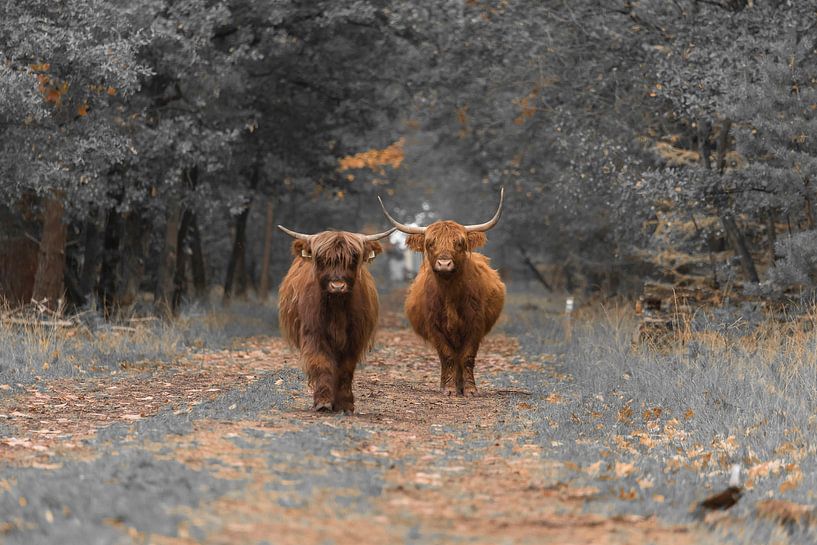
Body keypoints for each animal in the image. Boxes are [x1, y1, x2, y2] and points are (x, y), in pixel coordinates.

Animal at [276, 225, 394, 412]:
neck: (337, 308)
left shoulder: (355, 337)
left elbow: (346, 368)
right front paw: (323, 401)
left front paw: (345, 403)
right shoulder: (314, 334)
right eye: (321, 259)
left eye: (353, 259)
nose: (337, 286)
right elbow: (322, 363)